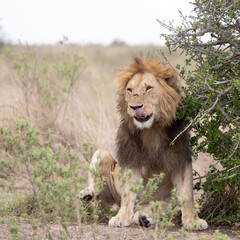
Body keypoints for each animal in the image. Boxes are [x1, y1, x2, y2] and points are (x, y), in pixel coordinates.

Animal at [79, 55, 208, 230]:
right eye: (130, 90)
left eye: (148, 88)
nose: (135, 107)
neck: (152, 129)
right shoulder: (131, 158)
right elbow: (128, 193)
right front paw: (121, 218)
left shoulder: (180, 158)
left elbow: (188, 194)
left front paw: (193, 221)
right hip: (102, 158)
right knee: (100, 198)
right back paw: (88, 195)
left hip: (168, 202)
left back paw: (144, 218)